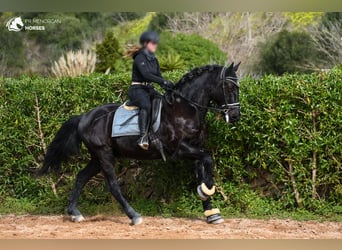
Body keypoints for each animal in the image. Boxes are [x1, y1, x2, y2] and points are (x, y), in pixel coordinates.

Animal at [38, 62, 240, 225]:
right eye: (229, 87)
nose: (235, 116)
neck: (185, 109)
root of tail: (84, 117)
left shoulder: (195, 148)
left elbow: (202, 169)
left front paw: (211, 211)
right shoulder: (180, 149)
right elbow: (208, 159)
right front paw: (208, 189)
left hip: (97, 157)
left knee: (81, 177)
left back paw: (74, 213)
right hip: (104, 155)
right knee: (113, 186)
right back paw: (134, 216)